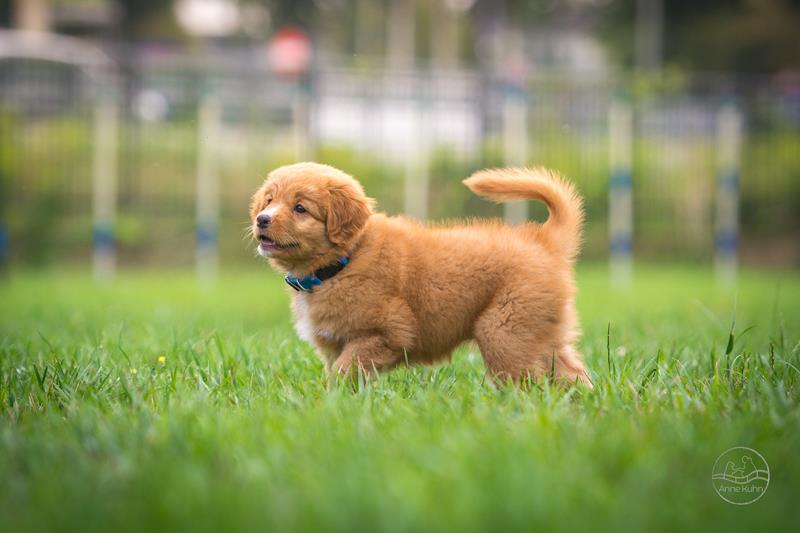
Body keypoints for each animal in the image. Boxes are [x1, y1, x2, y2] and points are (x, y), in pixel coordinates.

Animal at [250, 162, 592, 387]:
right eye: (269, 200)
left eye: (300, 208)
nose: (261, 219)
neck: (344, 260)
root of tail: (543, 240)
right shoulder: (334, 344)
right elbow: (341, 375)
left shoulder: (383, 334)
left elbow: (346, 371)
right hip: (541, 333)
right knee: (572, 373)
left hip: (504, 331)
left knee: (526, 382)